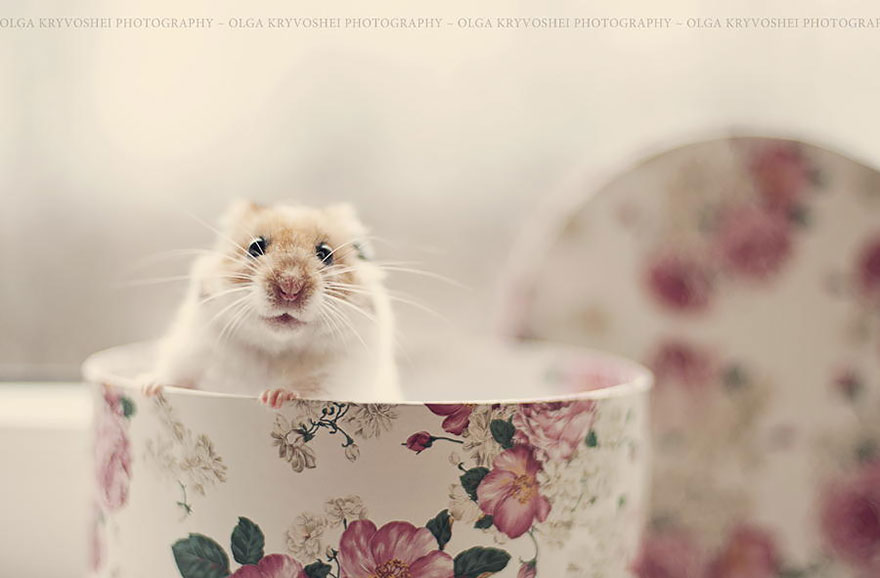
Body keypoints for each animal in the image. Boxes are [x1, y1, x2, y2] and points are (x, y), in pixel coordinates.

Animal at [142, 200, 400, 406]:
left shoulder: (339, 380)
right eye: (255, 246)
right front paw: (148, 387)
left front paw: (273, 397)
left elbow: (310, 389)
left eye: (326, 253)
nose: (290, 287)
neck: (276, 349)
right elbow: (175, 377)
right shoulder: (191, 350)